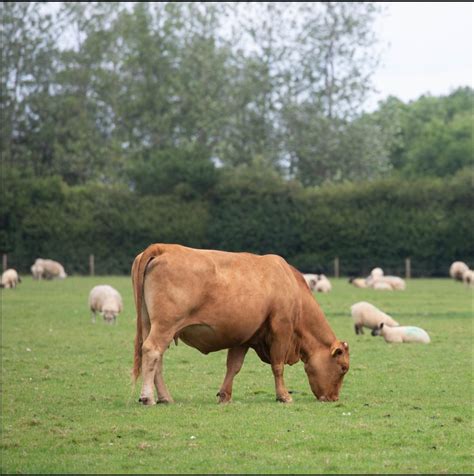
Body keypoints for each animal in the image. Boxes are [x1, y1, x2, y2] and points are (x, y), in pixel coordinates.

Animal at [131, 245, 350, 406]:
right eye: (343, 368)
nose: (334, 398)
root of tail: (163, 248)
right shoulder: (282, 329)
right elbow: (278, 366)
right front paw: (284, 396)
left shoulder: (244, 337)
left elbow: (233, 367)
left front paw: (224, 395)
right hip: (165, 325)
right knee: (151, 351)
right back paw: (148, 397)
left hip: (151, 324)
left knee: (156, 358)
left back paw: (165, 397)